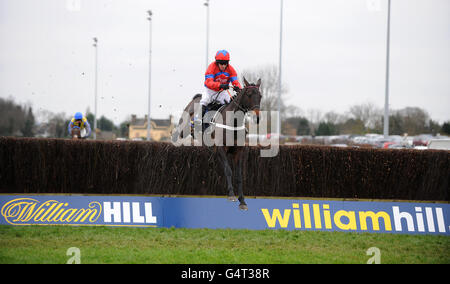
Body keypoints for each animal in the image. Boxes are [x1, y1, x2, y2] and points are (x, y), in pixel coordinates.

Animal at [172, 76, 264, 210]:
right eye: (249, 94)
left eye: (260, 95)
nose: (257, 117)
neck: (233, 122)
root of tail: (196, 98)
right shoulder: (221, 148)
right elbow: (228, 170)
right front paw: (231, 195)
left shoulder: (238, 151)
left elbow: (239, 175)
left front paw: (242, 201)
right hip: (184, 128)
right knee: (178, 133)